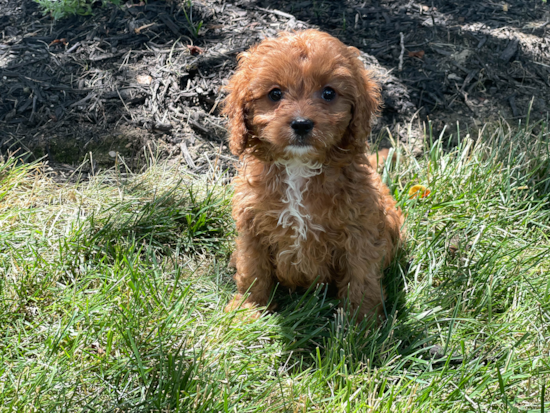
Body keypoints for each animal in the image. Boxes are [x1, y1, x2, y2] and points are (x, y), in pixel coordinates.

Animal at [222, 29, 404, 318]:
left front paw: (362, 321)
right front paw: (249, 308)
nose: (301, 123)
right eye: (275, 94)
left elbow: (361, 275)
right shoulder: (251, 223)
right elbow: (253, 268)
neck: (299, 166)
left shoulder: (360, 230)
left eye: (329, 93)